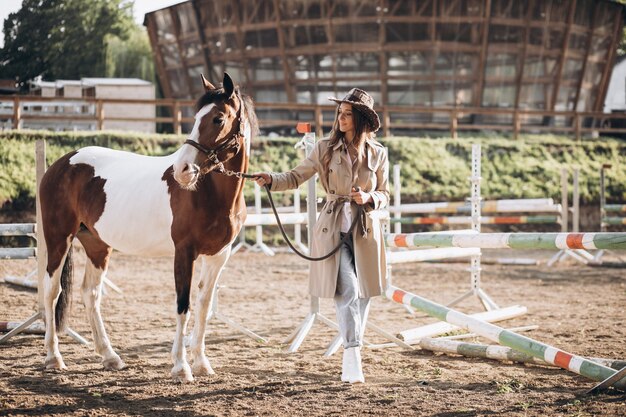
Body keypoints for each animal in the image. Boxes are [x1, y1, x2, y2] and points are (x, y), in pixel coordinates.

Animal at [38, 73, 256, 382]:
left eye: (218, 118)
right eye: (196, 117)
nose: (182, 170)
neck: (209, 193)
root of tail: (63, 162)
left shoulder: (218, 256)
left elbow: (203, 306)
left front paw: (202, 363)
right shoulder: (184, 252)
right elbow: (183, 305)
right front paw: (181, 367)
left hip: (97, 244)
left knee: (90, 293)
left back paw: (110, 356)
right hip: (59, 238)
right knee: (52, 291)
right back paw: (53, 357)